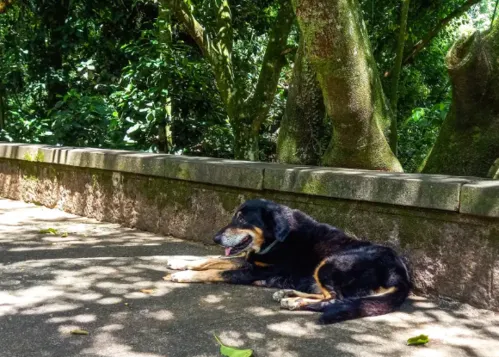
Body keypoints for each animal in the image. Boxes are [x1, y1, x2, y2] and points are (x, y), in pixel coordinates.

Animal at [166, 197, 412, 322]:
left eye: (242, 219)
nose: (215, 238)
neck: (277, 238)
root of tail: (401, 276)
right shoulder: (250, 261)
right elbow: (208, 259)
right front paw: (179, 262)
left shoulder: (255, 270)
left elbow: (217, 271)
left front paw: (184, 275)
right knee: (327, 294)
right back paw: (287, 293)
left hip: (330, 263)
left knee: (335, 299)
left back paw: (295, 301)